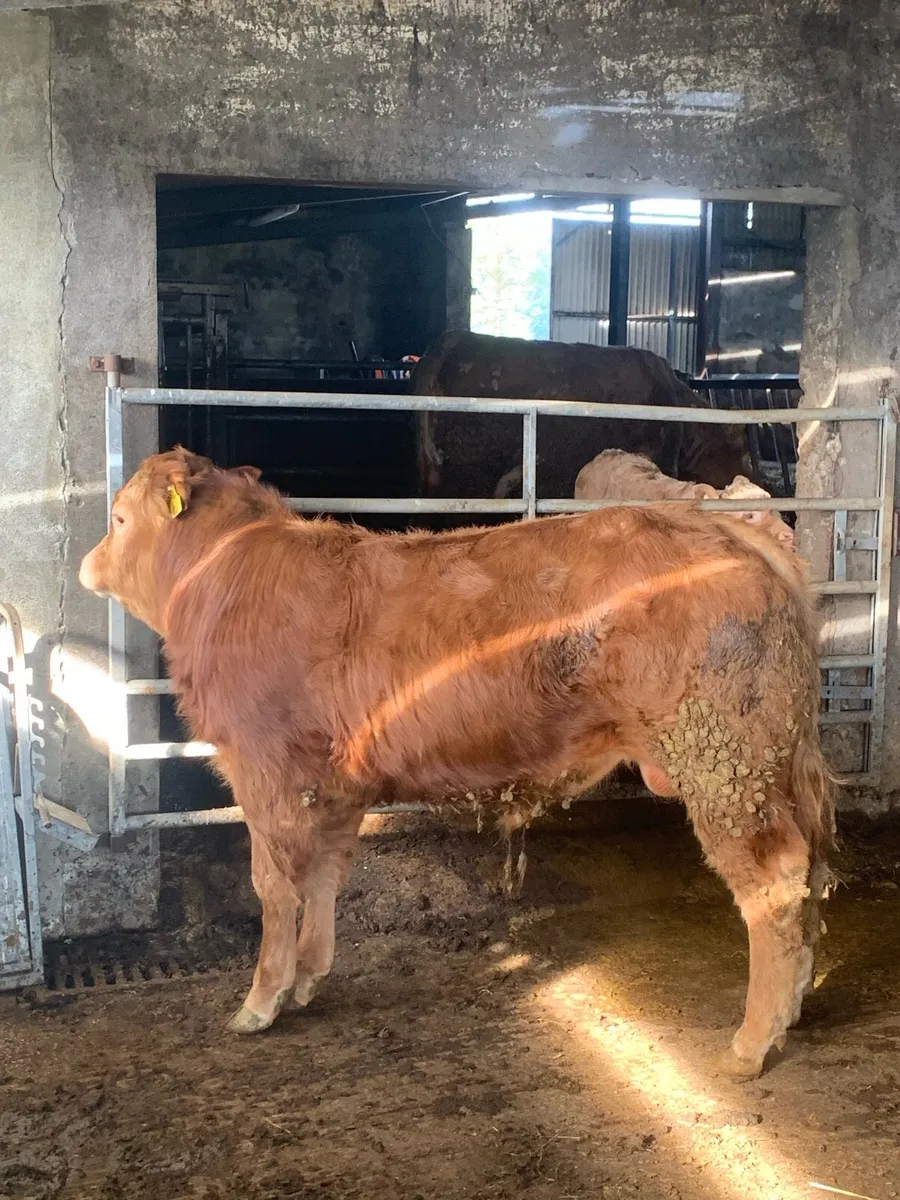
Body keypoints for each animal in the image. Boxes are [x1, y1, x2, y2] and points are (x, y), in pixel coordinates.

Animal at [79, 447, 834, 1081]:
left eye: (117, 518)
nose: (86, 564)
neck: (225, 574)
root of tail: (730, 532)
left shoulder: (264, 769)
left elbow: (275, 886)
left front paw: (261, 1001)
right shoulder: (335, 784)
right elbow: (324, 876)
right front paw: (307, 979)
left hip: (722, 761)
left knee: (773, 880)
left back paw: (750, 1043)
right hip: (771, 759)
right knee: (809, 873)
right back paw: (795, 1003)